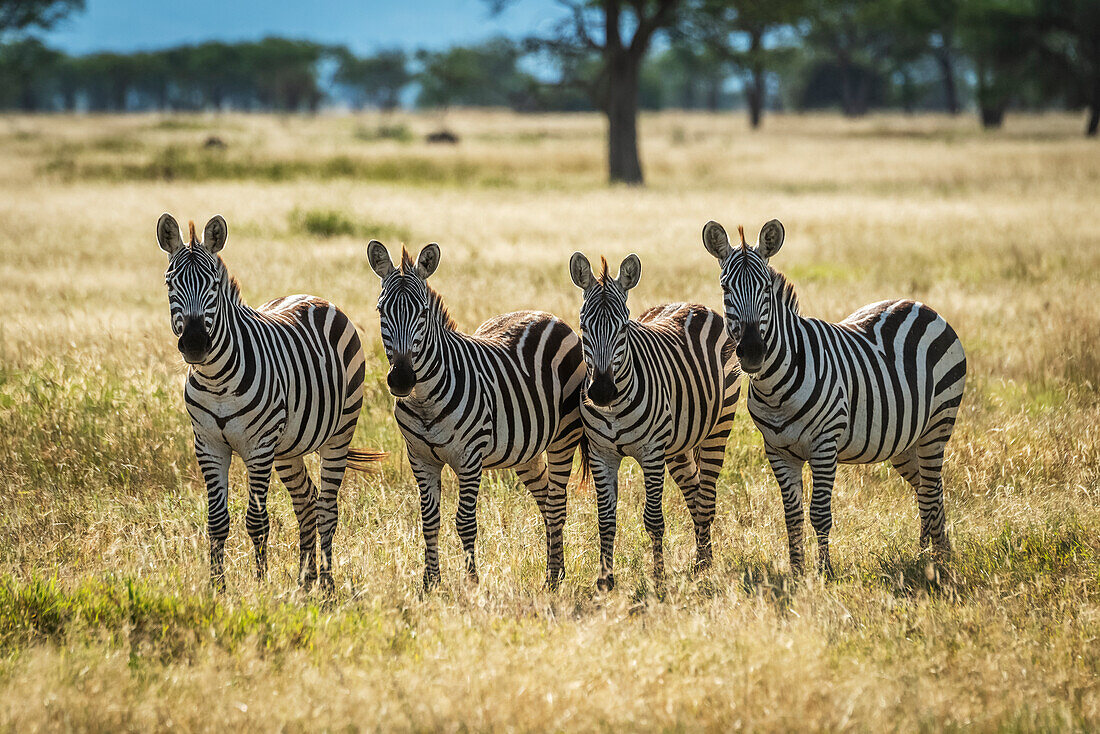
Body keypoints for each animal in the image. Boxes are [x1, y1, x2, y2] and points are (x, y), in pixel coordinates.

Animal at [157, 212, 385, 589]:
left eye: (213, 286)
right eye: (170, 284)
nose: (195, 344)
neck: (216, 378)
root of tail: (315, 298)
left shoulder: (259, 447)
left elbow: (256, 520)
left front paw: (260, 585)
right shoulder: (208, 445)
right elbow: (216, 521)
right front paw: (217, 588)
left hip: (339, 433)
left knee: (326, 508)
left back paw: (326, 583)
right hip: (289, 448)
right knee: (306, 502)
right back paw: (305, 580)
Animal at [367, 240, 589, 589]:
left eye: (423, 312)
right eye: (381, 311)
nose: (401, 379)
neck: (424, 400)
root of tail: (547, 316)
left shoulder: (469, 459)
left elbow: (465, 522)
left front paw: (472, 583)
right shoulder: (420, 458)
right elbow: (429, 520)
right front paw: (430, 584)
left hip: (563, 438)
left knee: (556, 504)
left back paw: (553, 580)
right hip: (525, 450)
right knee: (545, 499)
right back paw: (555, 570)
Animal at [567, 253, 739, 589]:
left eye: (623, 328)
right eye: (583, 326)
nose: (602, 391)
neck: (613, 410)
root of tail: (691, 304)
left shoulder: (651, 453)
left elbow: (654, 520)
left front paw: (659, 579)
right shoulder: (601, 454)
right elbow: (605, 519)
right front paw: (605, 580)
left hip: (717, 429)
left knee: (707, 498)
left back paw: (705, 564)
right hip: (679, 446)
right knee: (695, 494)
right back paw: (701, 560)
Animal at [699, 217, 968, 572]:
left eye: (766, 288)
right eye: (726, 289)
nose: (754, 351)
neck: (775, 390)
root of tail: (920, 305)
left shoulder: (824, 445)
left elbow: (819, 514)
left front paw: (824, 571)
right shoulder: (777, 450)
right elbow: (793, 515)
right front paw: (797, 571)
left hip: (937, 426)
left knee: (933, 489)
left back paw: (938, 560)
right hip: (905, 439)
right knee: (926, 489)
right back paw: (928, 554)